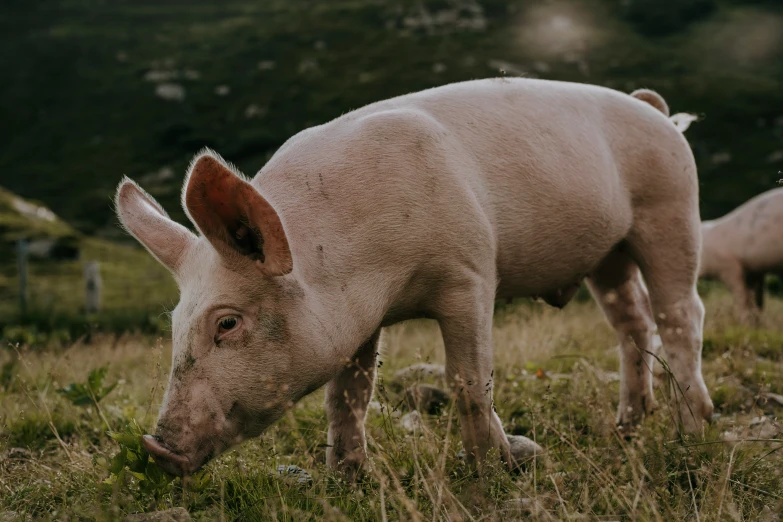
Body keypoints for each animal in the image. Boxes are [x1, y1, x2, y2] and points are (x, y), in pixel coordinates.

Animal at [118, 77, 716, 476]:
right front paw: (346, 479)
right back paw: (627, 426)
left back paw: (693, 430)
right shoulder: (356, 321)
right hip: (607, 253)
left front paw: (494, 469)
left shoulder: (470, 273)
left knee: (681, 313)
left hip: (669, 207)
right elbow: (348, 396)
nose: (158, 448)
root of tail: (652, 108)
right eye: (173, 325)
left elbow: (468, 381)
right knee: (632, 321)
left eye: (227, 323)